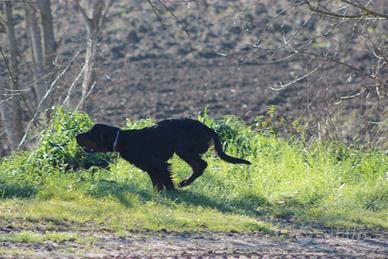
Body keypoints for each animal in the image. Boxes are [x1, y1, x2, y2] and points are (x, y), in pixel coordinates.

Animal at [76, 119, 252, 191]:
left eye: (90, 133)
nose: (77, 136)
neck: (123, 139)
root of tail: (208, 128)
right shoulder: (151, 167)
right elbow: (156, 182)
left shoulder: (158, 164)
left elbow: (164, 180)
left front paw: (172, 191)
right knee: (199, 166)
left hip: (183, 148)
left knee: (201, 165)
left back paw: (183, 183)